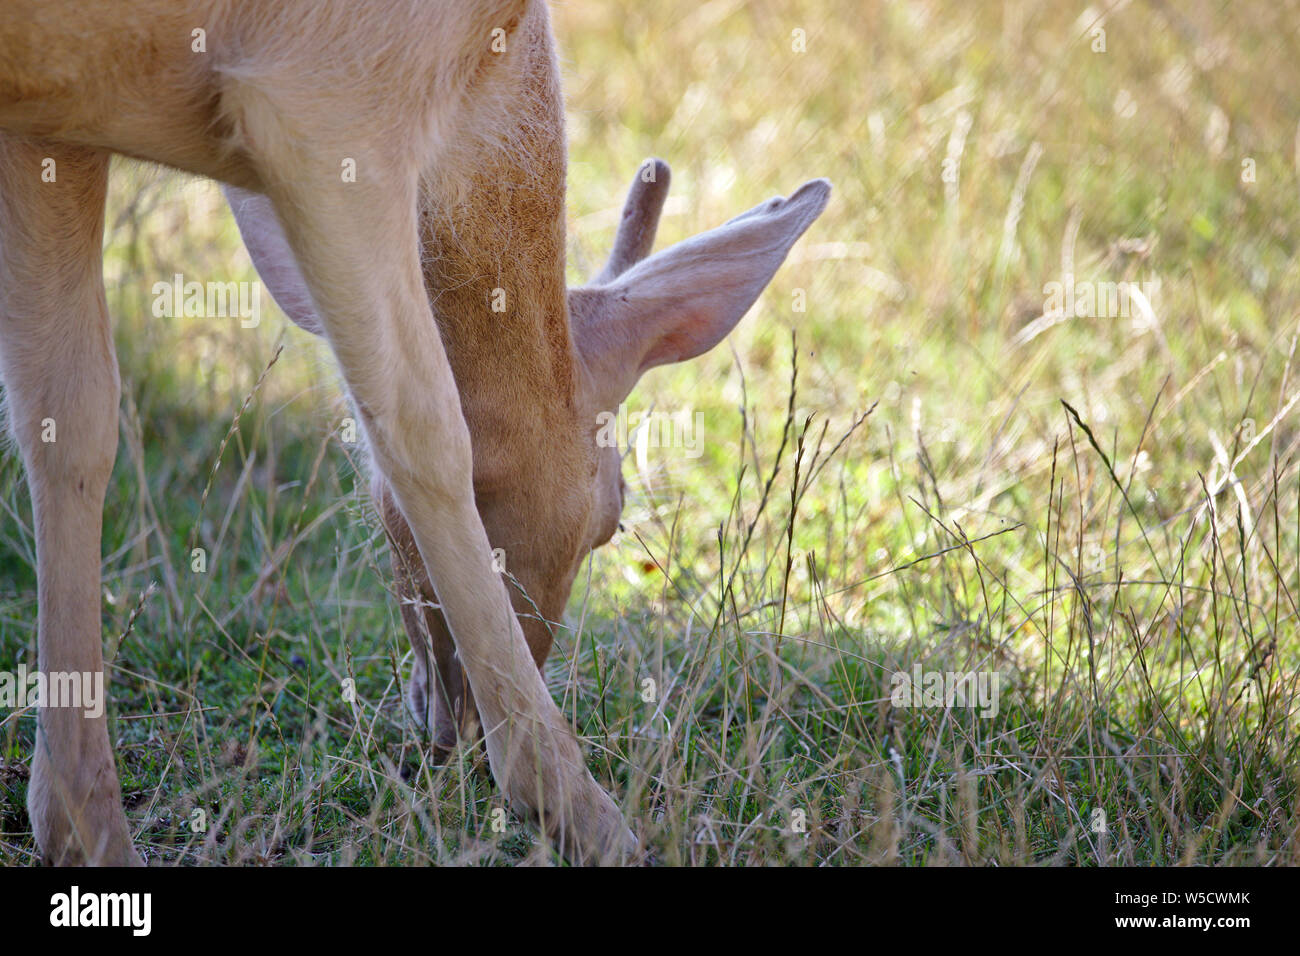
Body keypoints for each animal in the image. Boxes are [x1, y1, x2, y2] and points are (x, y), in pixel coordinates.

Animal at [0, 0, 829, 865]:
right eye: (614, 515)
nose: (448, 730)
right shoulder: (326, 105)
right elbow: (424, 426)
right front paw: (580, 810)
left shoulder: (49, 129)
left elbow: (68, 414)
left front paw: (82, 829)